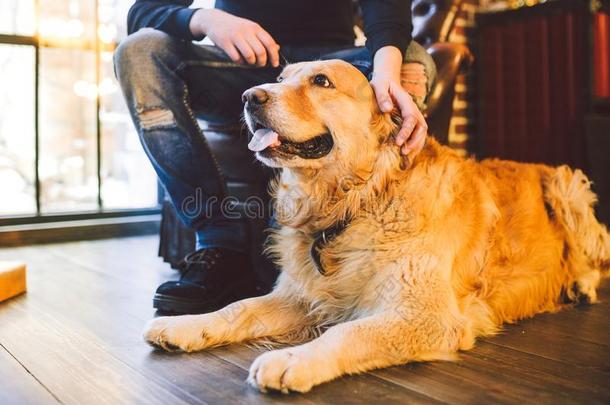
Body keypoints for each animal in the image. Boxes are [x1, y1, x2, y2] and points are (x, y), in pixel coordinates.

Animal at [144, 59, 608, 392]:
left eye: (321, 81)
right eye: (280, 78)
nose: (248, 97)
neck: (358, 201)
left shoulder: (423, 315)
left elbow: (346, 334)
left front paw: (293, 360)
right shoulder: (303, 295)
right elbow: (238, 307)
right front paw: (184, 326)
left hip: (568, 186)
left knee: (596, 258)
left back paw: (581, 284)